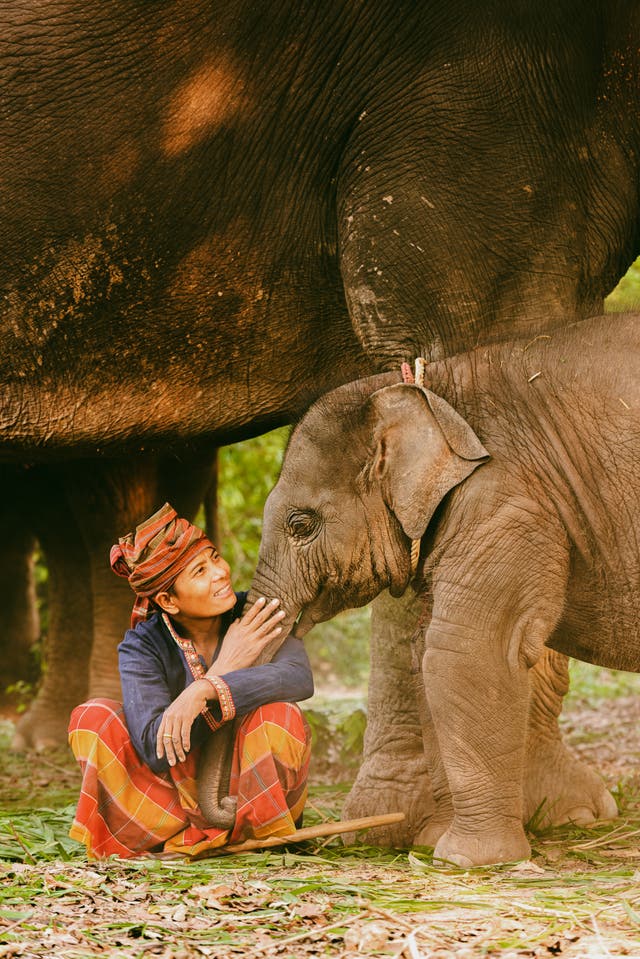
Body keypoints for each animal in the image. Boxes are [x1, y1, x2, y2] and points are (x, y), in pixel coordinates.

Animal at [248, 311, 638, 866]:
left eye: (301, 524)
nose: (295, 837)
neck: (435, 391)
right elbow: (424, 655)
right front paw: (435, 842)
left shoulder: (505, 500)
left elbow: (462, 650)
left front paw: (465, 860)